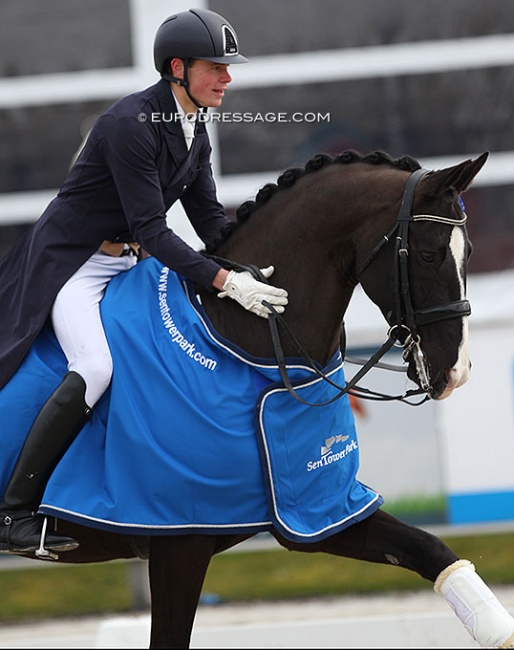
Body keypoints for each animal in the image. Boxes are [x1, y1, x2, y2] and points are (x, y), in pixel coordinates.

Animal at [2, 148, 510, 648]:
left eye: (469, 254)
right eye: (426, 255)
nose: (456, 371)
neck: (243, 345)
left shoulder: (311, 511)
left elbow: (430, 548)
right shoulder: (179, 538)